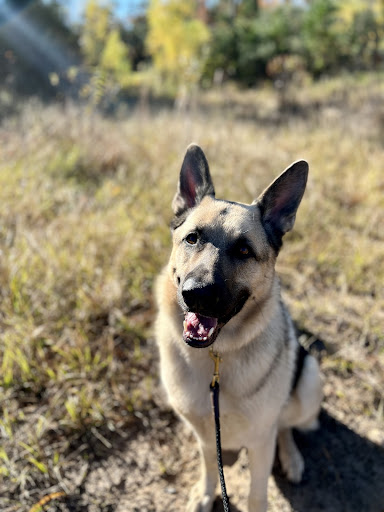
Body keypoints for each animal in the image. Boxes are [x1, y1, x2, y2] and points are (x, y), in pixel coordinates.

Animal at [154, 144, 322, 512]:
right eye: (192, 239)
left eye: (244, 250)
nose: (197, 294)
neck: (217, 358)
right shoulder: (205, 436)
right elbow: (208, 467)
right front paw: (206, 493)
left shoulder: (260, 443)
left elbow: (257, 493)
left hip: (309, 381)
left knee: (285, 426)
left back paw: (292, 457)